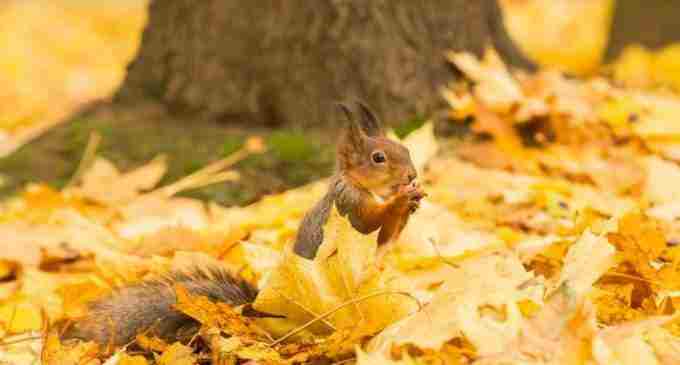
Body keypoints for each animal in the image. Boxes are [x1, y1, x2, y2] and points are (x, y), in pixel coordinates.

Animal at [61, 100, 428, 346]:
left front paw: (412, 201)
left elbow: (387, 239)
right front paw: (401, 201)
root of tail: (265, 312)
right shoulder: (348, 209)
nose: (412, 175)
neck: (355, 184)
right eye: (378, 158)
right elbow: (372, 222)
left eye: (405, 147)